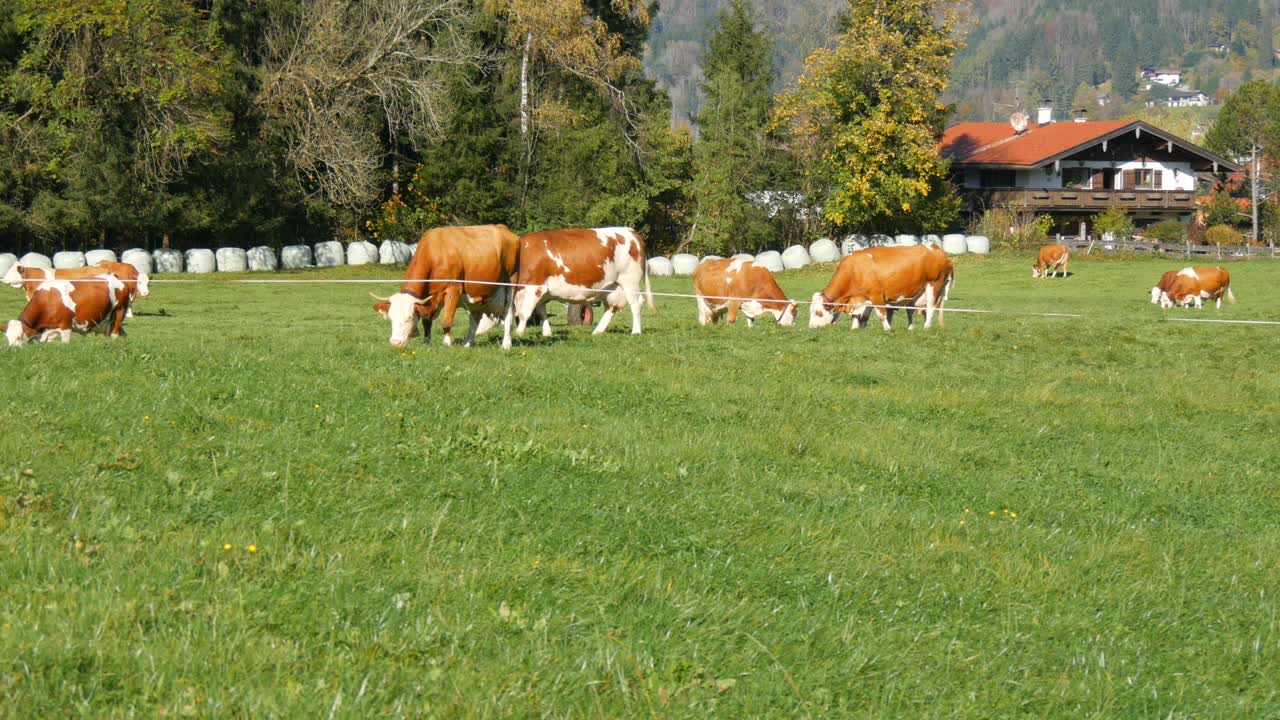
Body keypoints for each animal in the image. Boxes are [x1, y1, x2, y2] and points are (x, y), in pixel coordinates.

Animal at [371, 224, 519, 348]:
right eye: (390, 318)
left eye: (409, 318)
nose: (395, 343)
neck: (434, 255)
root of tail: (503, 228)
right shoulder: (430, 298)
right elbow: (426, 321)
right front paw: (426, 343)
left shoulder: (453, 289)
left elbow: (446, 321)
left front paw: (447, 343)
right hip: (478, 291)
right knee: (475, 318)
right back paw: (467, 344)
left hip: (511, 283)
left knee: (509, 314)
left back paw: (506, 344)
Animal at [509, 226, 655, 335]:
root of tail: (632, 232)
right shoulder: (540, 291)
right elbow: (541, 312)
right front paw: (546, 333)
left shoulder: (533, 287)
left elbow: (524, 313)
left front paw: (518, 333)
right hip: (612, 287)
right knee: (611, 307)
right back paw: (597, 331)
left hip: (630, 281)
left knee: (636, 303)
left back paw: (636, 331)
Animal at [808, 242, 952, 330]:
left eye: (818, 312)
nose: (811, 327)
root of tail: (936, 248)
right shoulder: (863, 298)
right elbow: (859, 316)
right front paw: (856, 329)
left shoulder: (876, 295)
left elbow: (881, 314)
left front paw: (887, 329)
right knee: (913, 310)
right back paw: (911, 328)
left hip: (934, 285)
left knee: (930, 309)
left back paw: (926, 328)